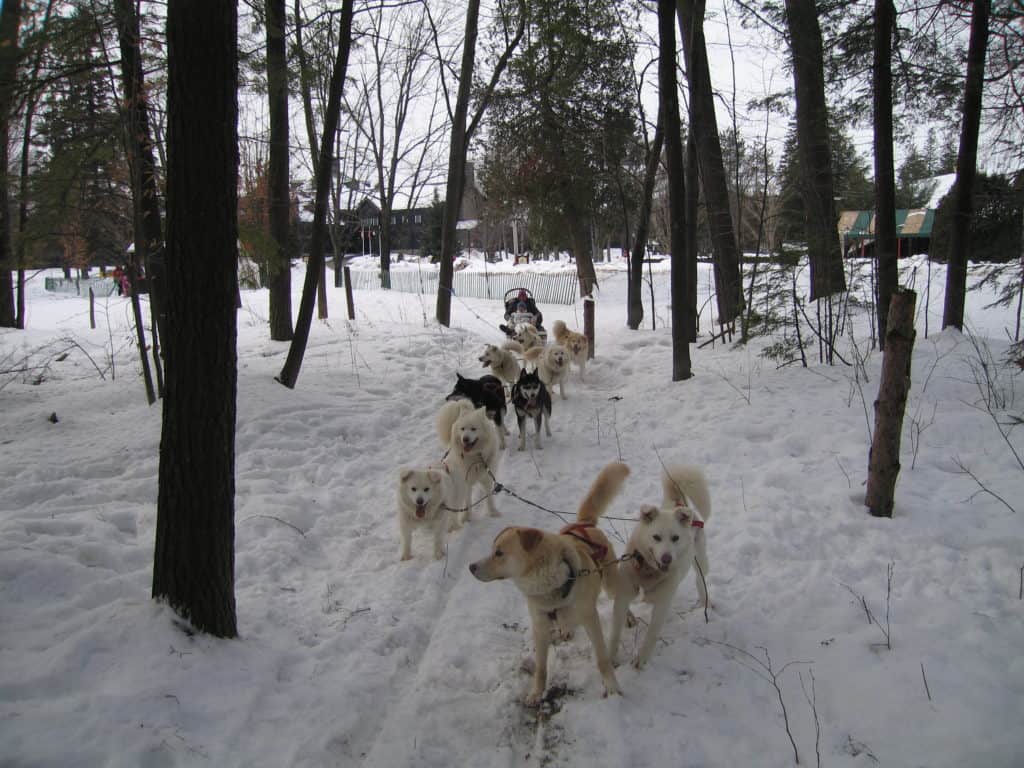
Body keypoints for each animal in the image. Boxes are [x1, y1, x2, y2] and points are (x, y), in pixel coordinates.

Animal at [468, 460, 626, 708]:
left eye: (499, 553)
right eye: (492, 550)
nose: (471, 567)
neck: (548, 585)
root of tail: (583, 523)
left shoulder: (591, 619)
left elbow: (602, 659)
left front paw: (612, 688)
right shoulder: (540, 627)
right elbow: (541, 668)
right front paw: (536, 693)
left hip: (610, 583)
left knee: (619, 595)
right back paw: (566, 630)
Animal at [606, 466, 712, 671]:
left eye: (675, 538)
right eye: (656, 537)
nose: (666, 558)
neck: (648, 572)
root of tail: (676, 503)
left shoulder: (662, 605)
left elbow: (651, 635)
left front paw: (641, 659)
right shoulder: (623, 597)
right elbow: (614, 632)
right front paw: (611, 659)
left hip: (700, 560)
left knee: (700, 580)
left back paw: (704, 603)